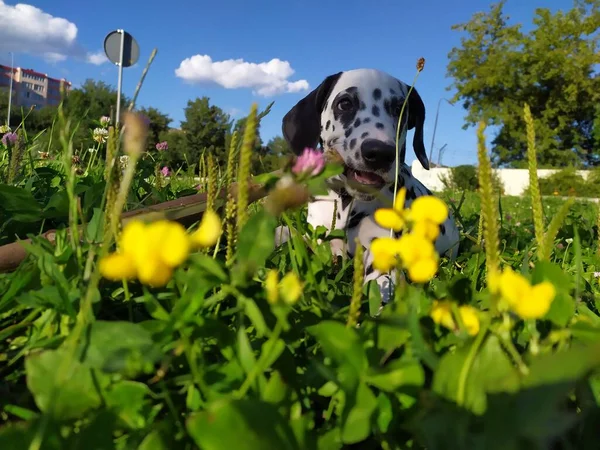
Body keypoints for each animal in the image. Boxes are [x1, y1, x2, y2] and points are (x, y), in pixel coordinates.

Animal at [276, 68, 460, 304]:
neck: (346, 202)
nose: (379, 152)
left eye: (399, 109)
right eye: (345, 103)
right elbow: (284, 232)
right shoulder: (316, 237)